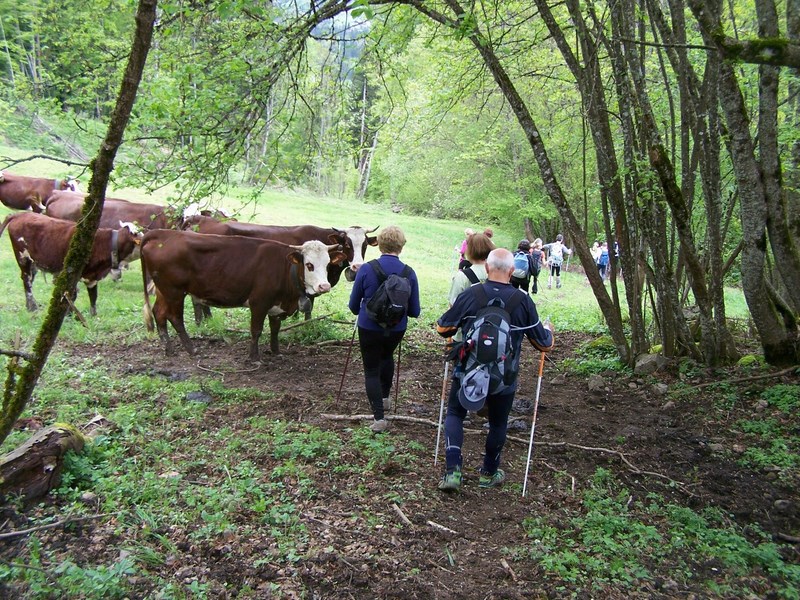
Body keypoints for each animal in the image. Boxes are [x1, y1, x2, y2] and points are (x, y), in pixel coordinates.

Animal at [0, 212, 141, 314]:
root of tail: (20, 214)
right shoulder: (74, 274)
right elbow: (72, 295)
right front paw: (69, 314)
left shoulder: (92, 277)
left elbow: (93, 298)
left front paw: (93, 316)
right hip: (23, 258)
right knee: (27, 281)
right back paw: (32, 307)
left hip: (33, 262)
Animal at [141, 229, 346, 360]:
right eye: (309, 265)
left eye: (327, 264)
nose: (324, 286)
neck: (285, 269)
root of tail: (164, 233)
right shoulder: (259, 303)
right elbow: (256, 330)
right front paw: (254, 357)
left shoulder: (276, 306)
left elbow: (275, 329)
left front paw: (276, 352)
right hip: (174, 292)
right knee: (175, 318)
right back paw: (191, 350)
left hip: (163, 291)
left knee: (159, 313)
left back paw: (169, 349)